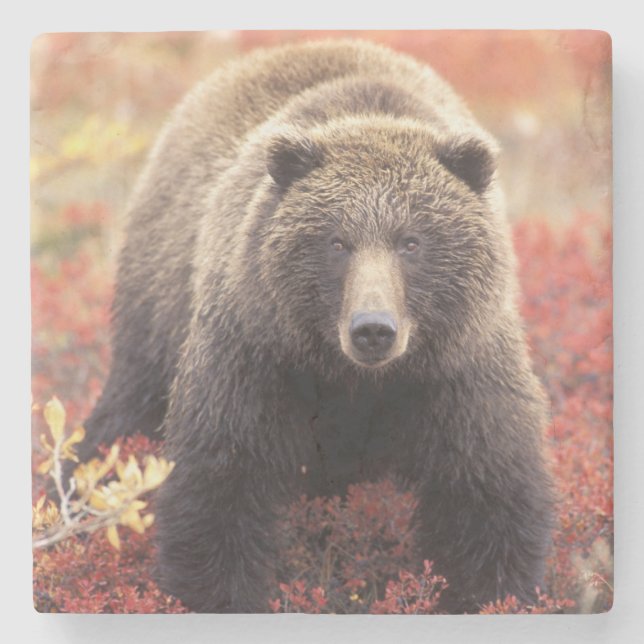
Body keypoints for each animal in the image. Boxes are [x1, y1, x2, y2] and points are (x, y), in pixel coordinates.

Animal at [79, 39, 555, 613]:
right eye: (337, 241)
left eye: (411, 240)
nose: (373, 328)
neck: (355, 380)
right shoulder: (257, 354)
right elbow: (219, 485)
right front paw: (217, 594)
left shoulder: (459, 368)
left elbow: (488, 493)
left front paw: (490, 591)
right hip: (157, 307)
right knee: (125, 411)